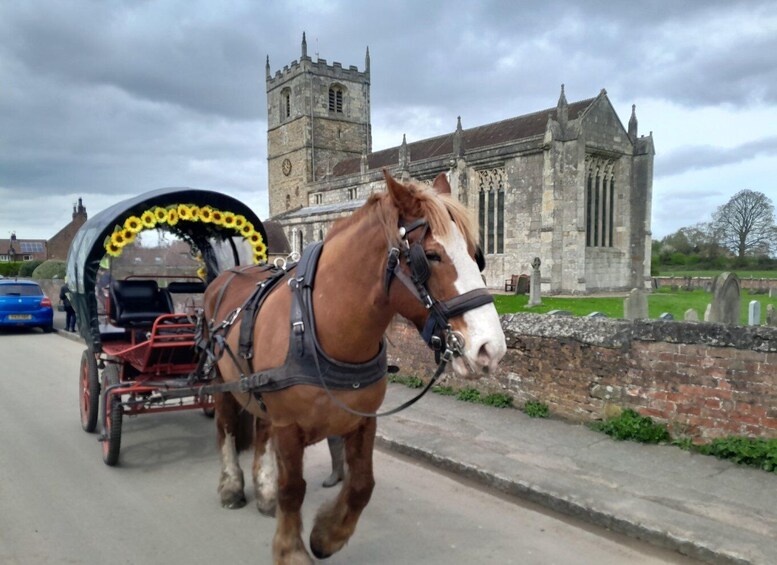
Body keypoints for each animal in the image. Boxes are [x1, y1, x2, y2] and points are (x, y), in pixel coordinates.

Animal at [203, 169, 506, 564]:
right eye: (431, 256)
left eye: (476, 255)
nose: (491, 349)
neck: (320, 324)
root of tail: (227, 275)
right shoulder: (289, 426)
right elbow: (293, 487)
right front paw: (291, 549)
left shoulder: (362, 420)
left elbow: (362, 484)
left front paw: (327, 535)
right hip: (222, 381)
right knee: (225, 427)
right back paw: (232, 486)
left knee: (260, 428)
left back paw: (264, 492)